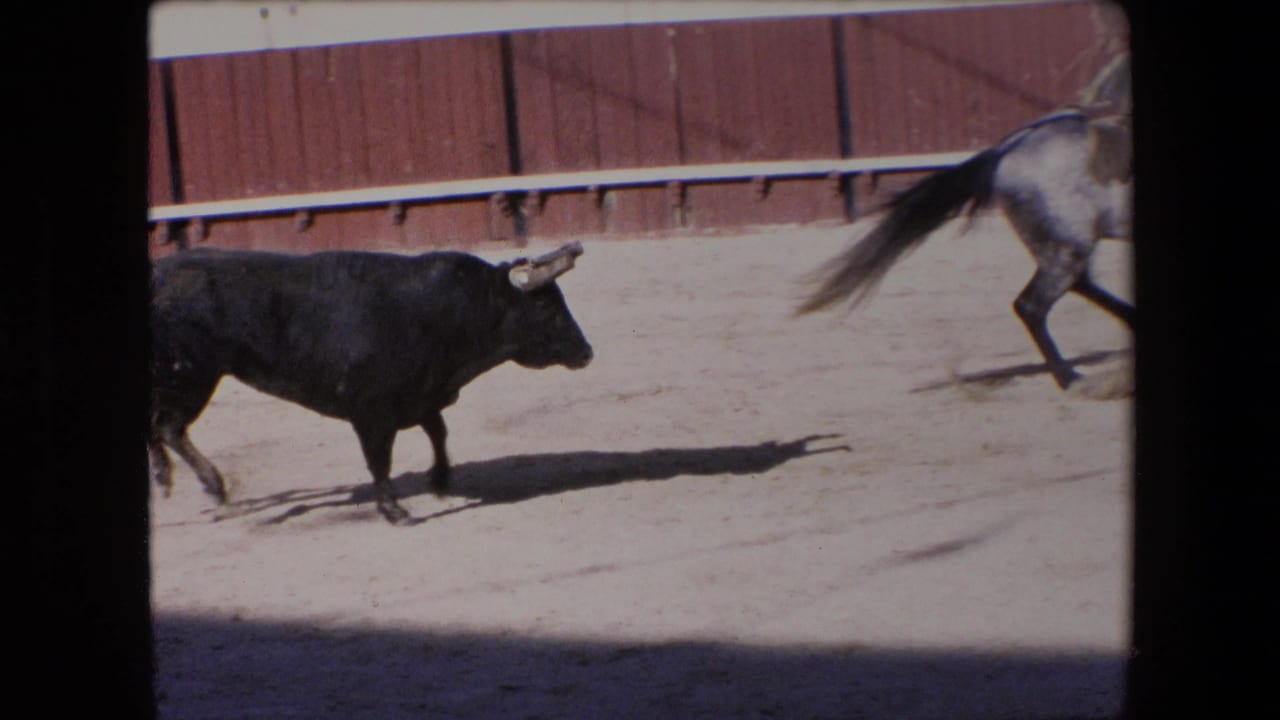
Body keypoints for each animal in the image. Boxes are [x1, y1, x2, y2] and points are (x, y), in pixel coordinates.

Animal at [147, 241, 593, 525]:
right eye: (546, 307)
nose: (587, 352)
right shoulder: (371, 412)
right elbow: (381, 460)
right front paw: (395, 512)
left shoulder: (421, 396)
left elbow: (439, 433)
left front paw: (441, 480)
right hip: (191, 376)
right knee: (169, 427)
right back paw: (211, 488)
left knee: (163, 428)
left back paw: (178, 482)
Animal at [796, 57, 1132, 392]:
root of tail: (1004, 152)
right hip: (1067, 247)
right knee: (1033, 305)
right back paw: (1070, 379)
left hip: (1063, 245)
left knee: (1078, 286)